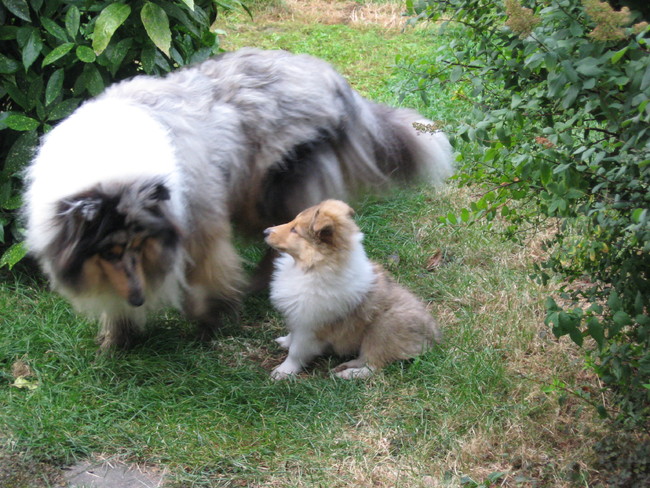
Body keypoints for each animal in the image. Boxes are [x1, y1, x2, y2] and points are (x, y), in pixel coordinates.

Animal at [23, 48, 453, 350]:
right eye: (109, 252)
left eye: (138, 244)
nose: (138, 298)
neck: (111, 164)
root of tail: (334, 80)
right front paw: (117, 339)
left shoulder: (199, 221)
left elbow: (209, 277)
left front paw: (208, 321)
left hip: (273, 189)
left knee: (283, 240)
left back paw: (255, 285)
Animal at [264, 200, 442, 379]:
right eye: (292, 220)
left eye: (295, 230)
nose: (265, 231)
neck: (311, 268)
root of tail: (433, 338)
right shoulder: (298, 317)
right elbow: (292, 334)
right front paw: (284, 341)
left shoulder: (311, 327)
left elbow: (296, 352)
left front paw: (283, 371)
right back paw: (343, 366)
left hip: (382, 330)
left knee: (373, 366)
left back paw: (347, 374)